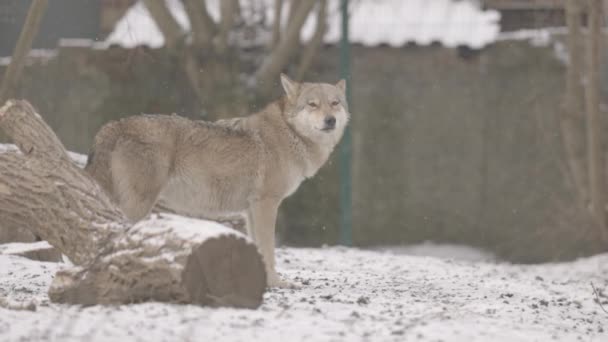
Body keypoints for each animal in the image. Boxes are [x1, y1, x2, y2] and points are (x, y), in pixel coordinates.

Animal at [86, 74, 352, 286]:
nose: (330, 120)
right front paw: (276, 283)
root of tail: (114, 125)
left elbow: (259, 247)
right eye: (312, 104)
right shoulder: (266, 204)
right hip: (137, 206)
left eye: (335, 103)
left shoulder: (251, 210)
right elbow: (268, 248)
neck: (290, 133)